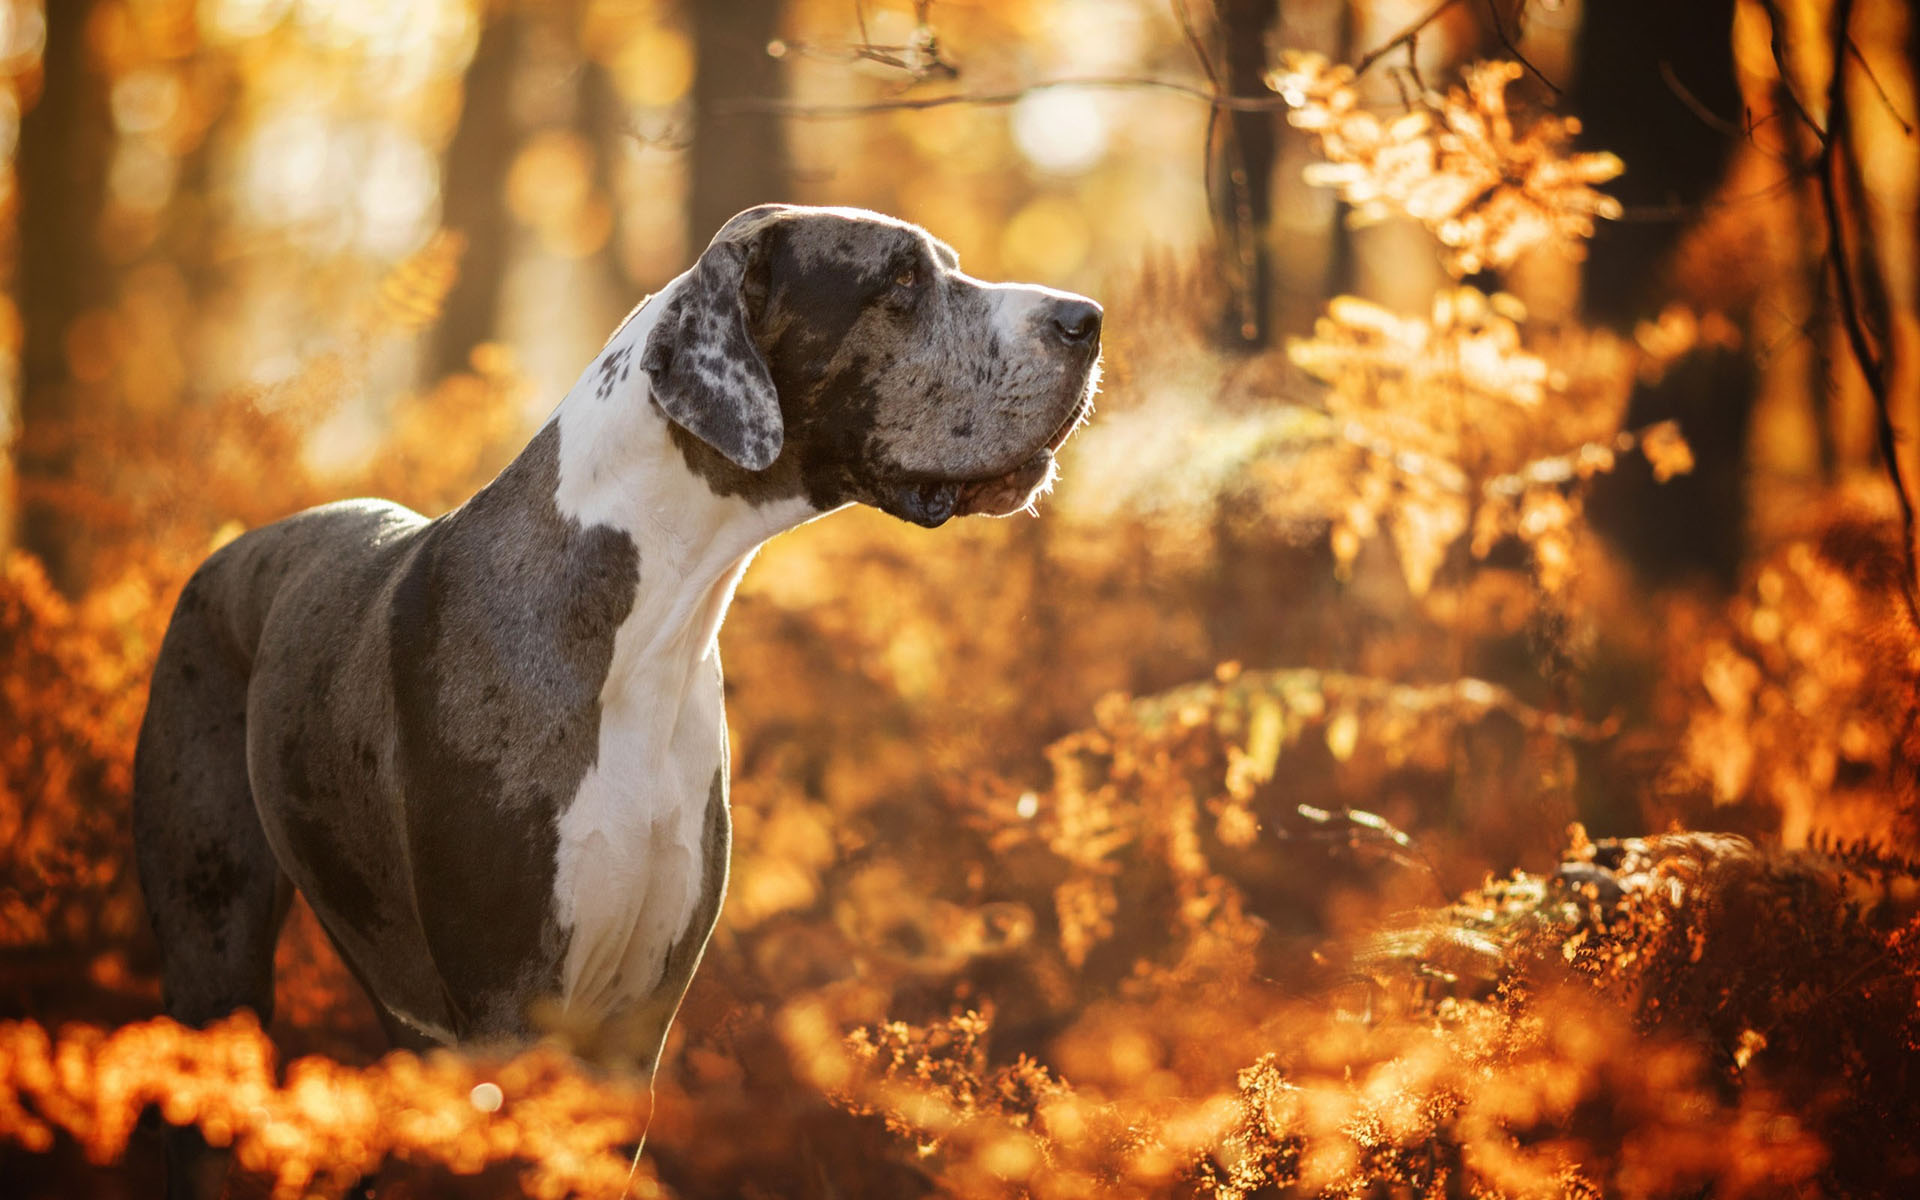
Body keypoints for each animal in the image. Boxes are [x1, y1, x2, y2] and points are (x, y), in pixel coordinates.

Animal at [131, 203, 1098, 1190]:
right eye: (901, 280)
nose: (1087, 320)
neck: (652, 629)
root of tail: (223, 552)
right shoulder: (506, 1014)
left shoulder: (638, 1029)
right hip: (214, 957)